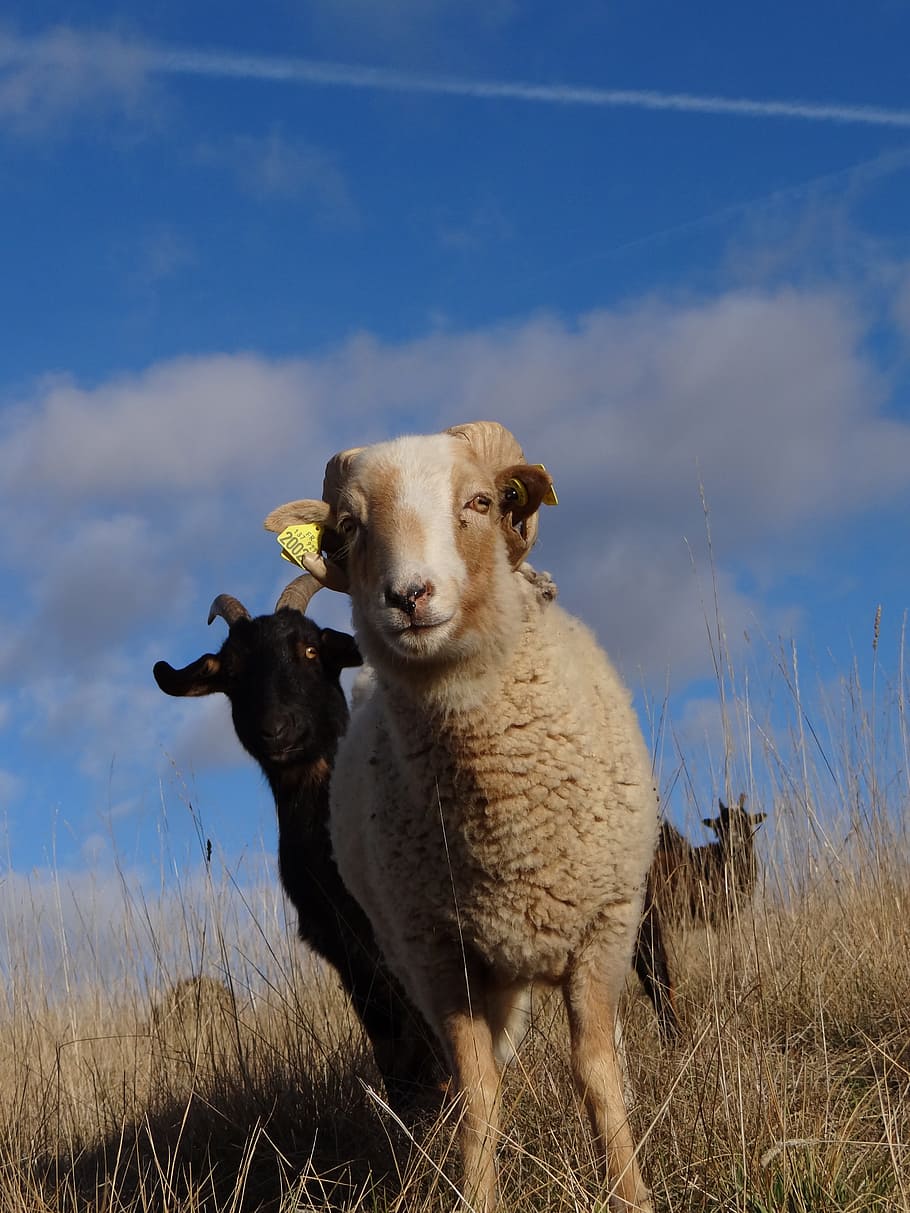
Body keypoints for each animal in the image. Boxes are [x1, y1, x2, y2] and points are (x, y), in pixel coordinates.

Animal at [264, 421, 658, 1212]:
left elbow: (598, 1076)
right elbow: (479, 1092)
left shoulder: (603, 932)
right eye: (348, 526)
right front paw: (478, 1192)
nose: (409, 595)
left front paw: (630, 1192)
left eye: (479, 501)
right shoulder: (441, 960)